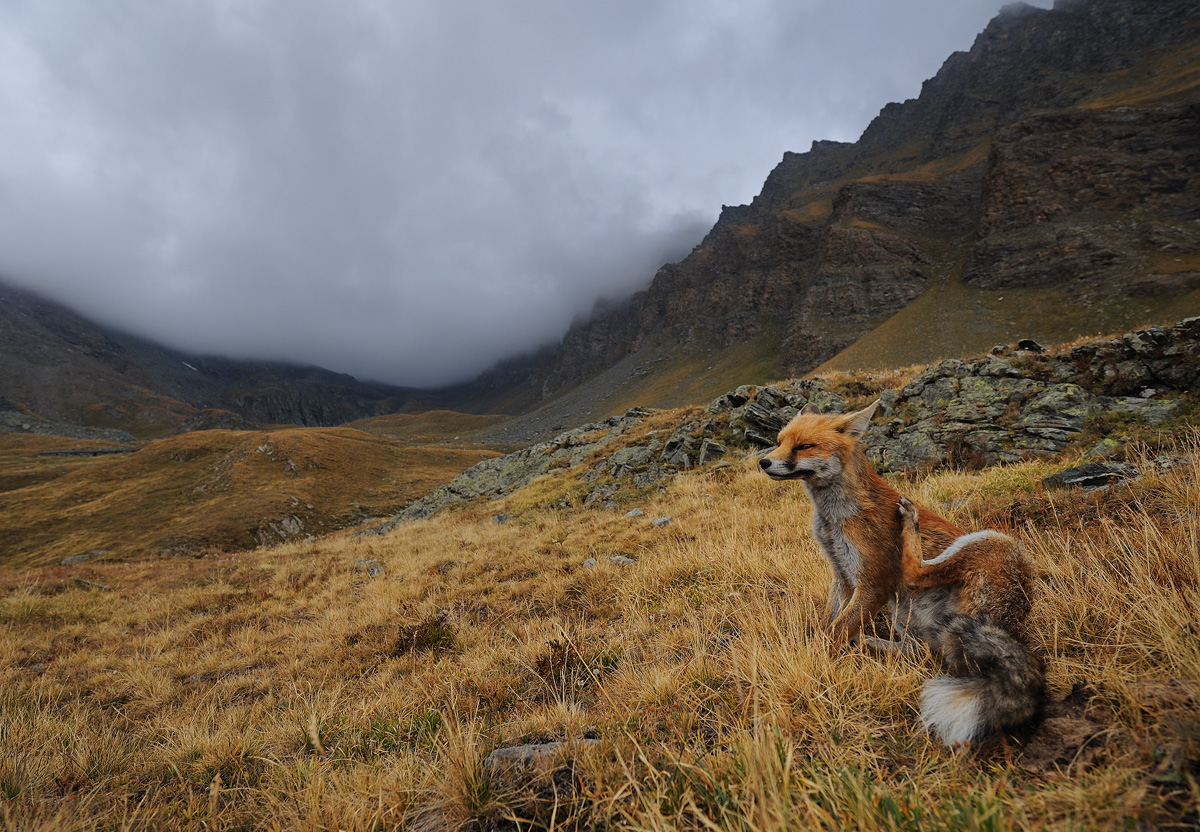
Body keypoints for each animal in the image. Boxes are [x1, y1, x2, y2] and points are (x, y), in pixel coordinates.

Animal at [759, 399, 1045, 747]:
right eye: (779, 441)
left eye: (804, 446)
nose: (763, 462)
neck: (834, 519)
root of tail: (1009, 623)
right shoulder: (842, 576)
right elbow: (829, 624)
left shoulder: (874, 584)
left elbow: (834, 632)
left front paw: (817, 665)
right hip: (905, 614)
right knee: (920, 654)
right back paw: (867, 643)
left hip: (986, 541)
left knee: (913, 575)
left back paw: (910, 520)